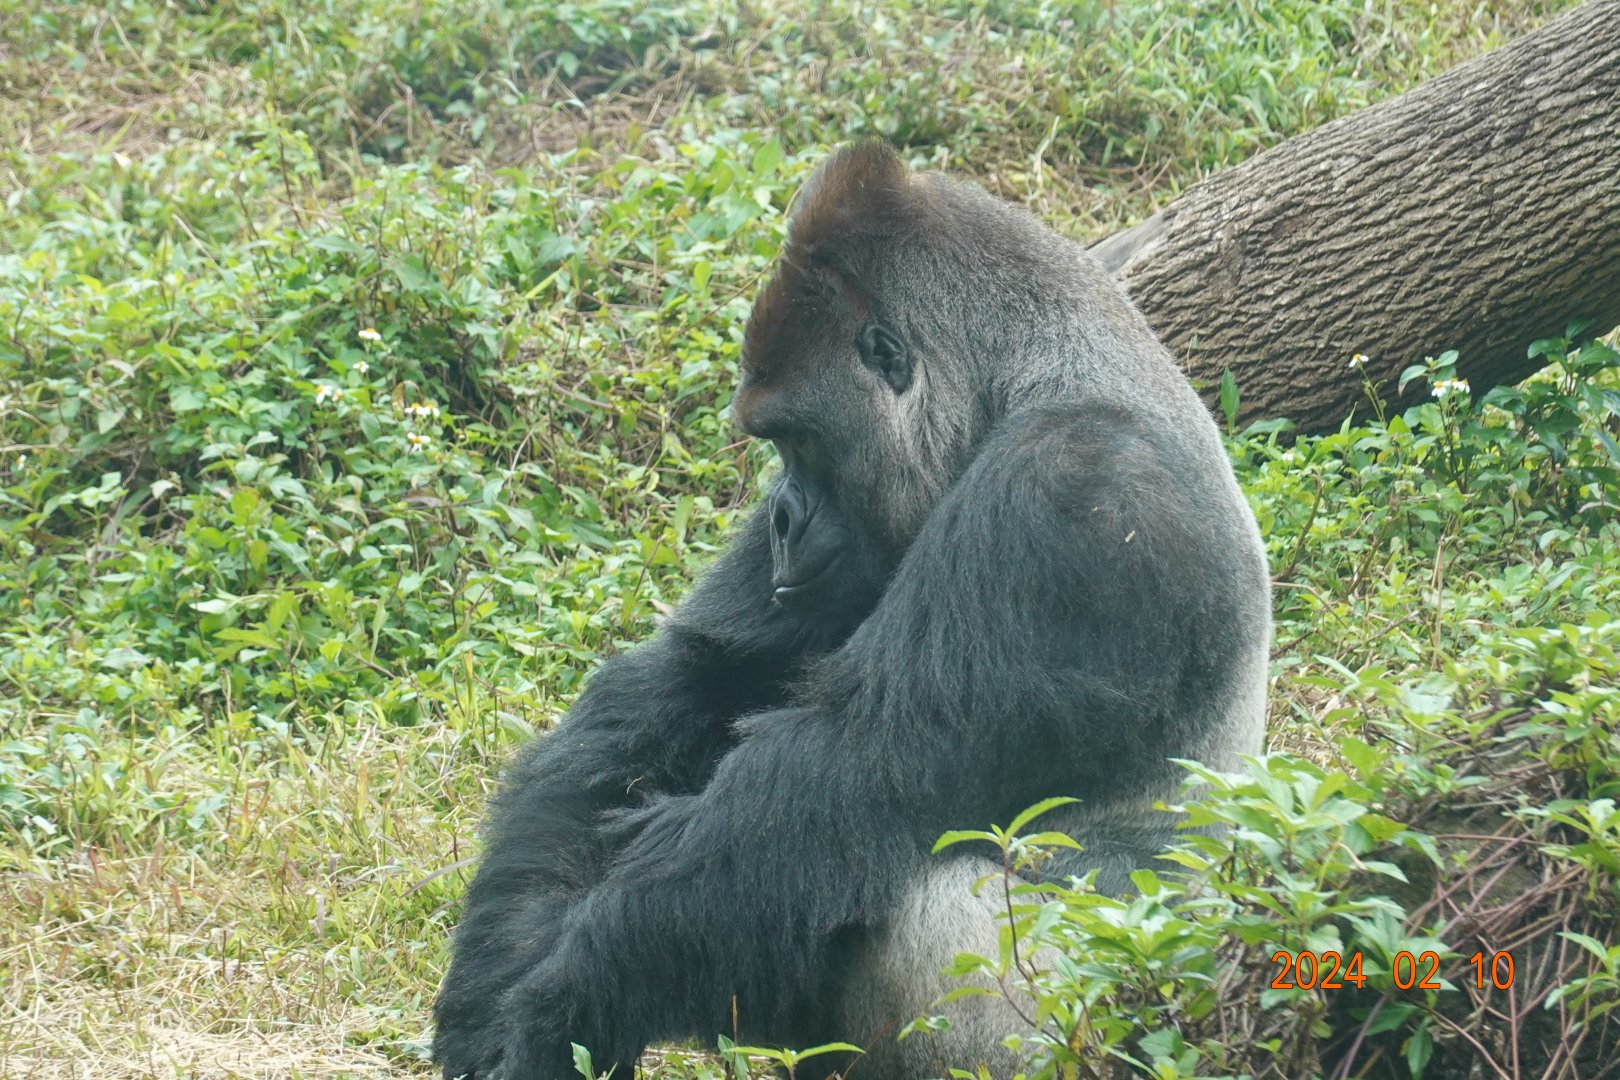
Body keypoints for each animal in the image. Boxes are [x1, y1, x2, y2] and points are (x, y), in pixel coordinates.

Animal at [432, 141, 1270, 1080]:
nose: (783, 519)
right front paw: (492, 986)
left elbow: (844, 780)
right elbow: (689, 680)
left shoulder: (1070, 492)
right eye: (776, 449)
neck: (1030, 369)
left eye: (799, 438)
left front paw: (572, 997)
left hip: (1129, 1012)